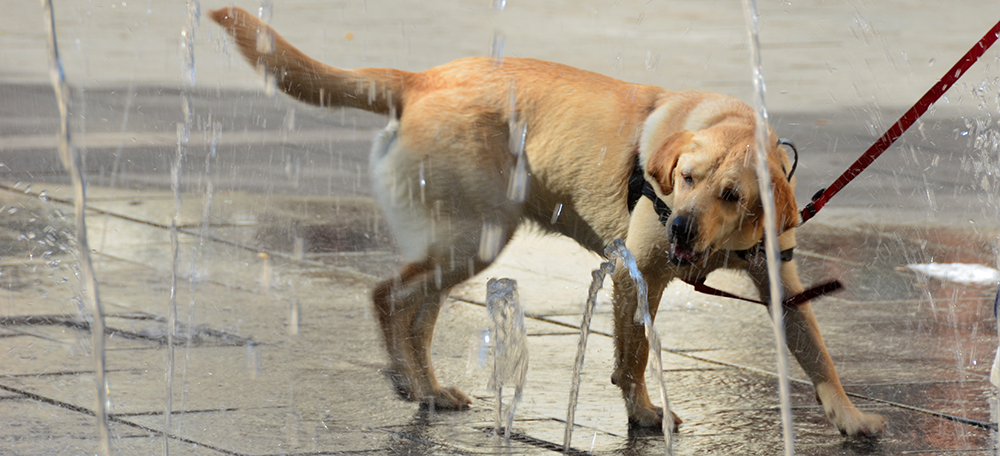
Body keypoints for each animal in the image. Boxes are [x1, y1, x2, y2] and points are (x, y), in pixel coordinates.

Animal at [213, 5, 884, 436]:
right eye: (685, 180)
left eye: (729, 193)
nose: (680, 228)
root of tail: (420, 78)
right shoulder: (637, 273)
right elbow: (635, 354)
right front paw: (644, 415)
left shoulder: (781, 285)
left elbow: (818, 354)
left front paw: (849, 418)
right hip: (475, 238)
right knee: (388, 295)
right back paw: (408, 383)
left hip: (461, 242)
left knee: (416, 313)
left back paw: (427, 390)